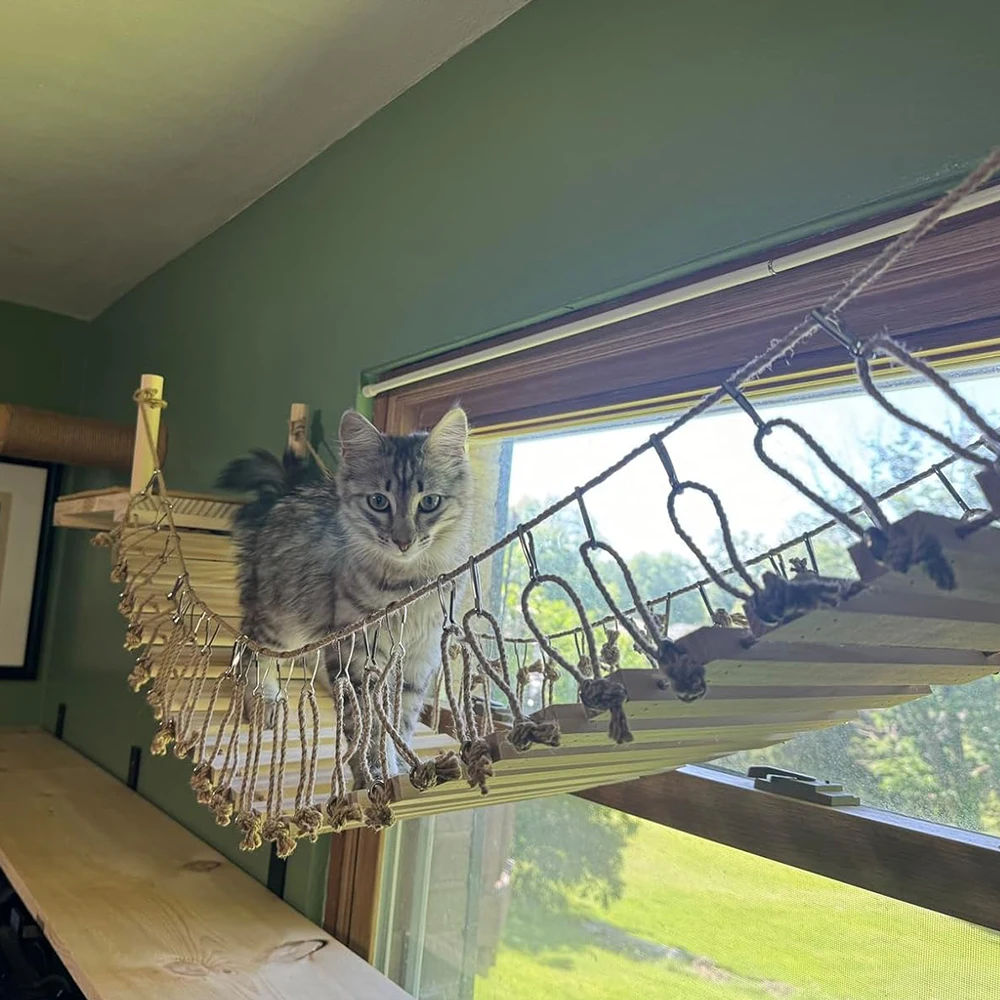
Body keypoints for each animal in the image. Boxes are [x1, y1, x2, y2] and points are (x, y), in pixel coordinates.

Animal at [217, 406, 474, 788]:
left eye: (429, 502)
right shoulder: (358, 648)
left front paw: (400, 767)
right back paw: (266, 699)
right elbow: (366, 721)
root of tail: (285, 494)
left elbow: (402, 720)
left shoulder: (420, 656)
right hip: (278, 619)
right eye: (379, 502)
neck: (409, 585)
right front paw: (374, 773)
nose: (403, 541)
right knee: (250, 652)